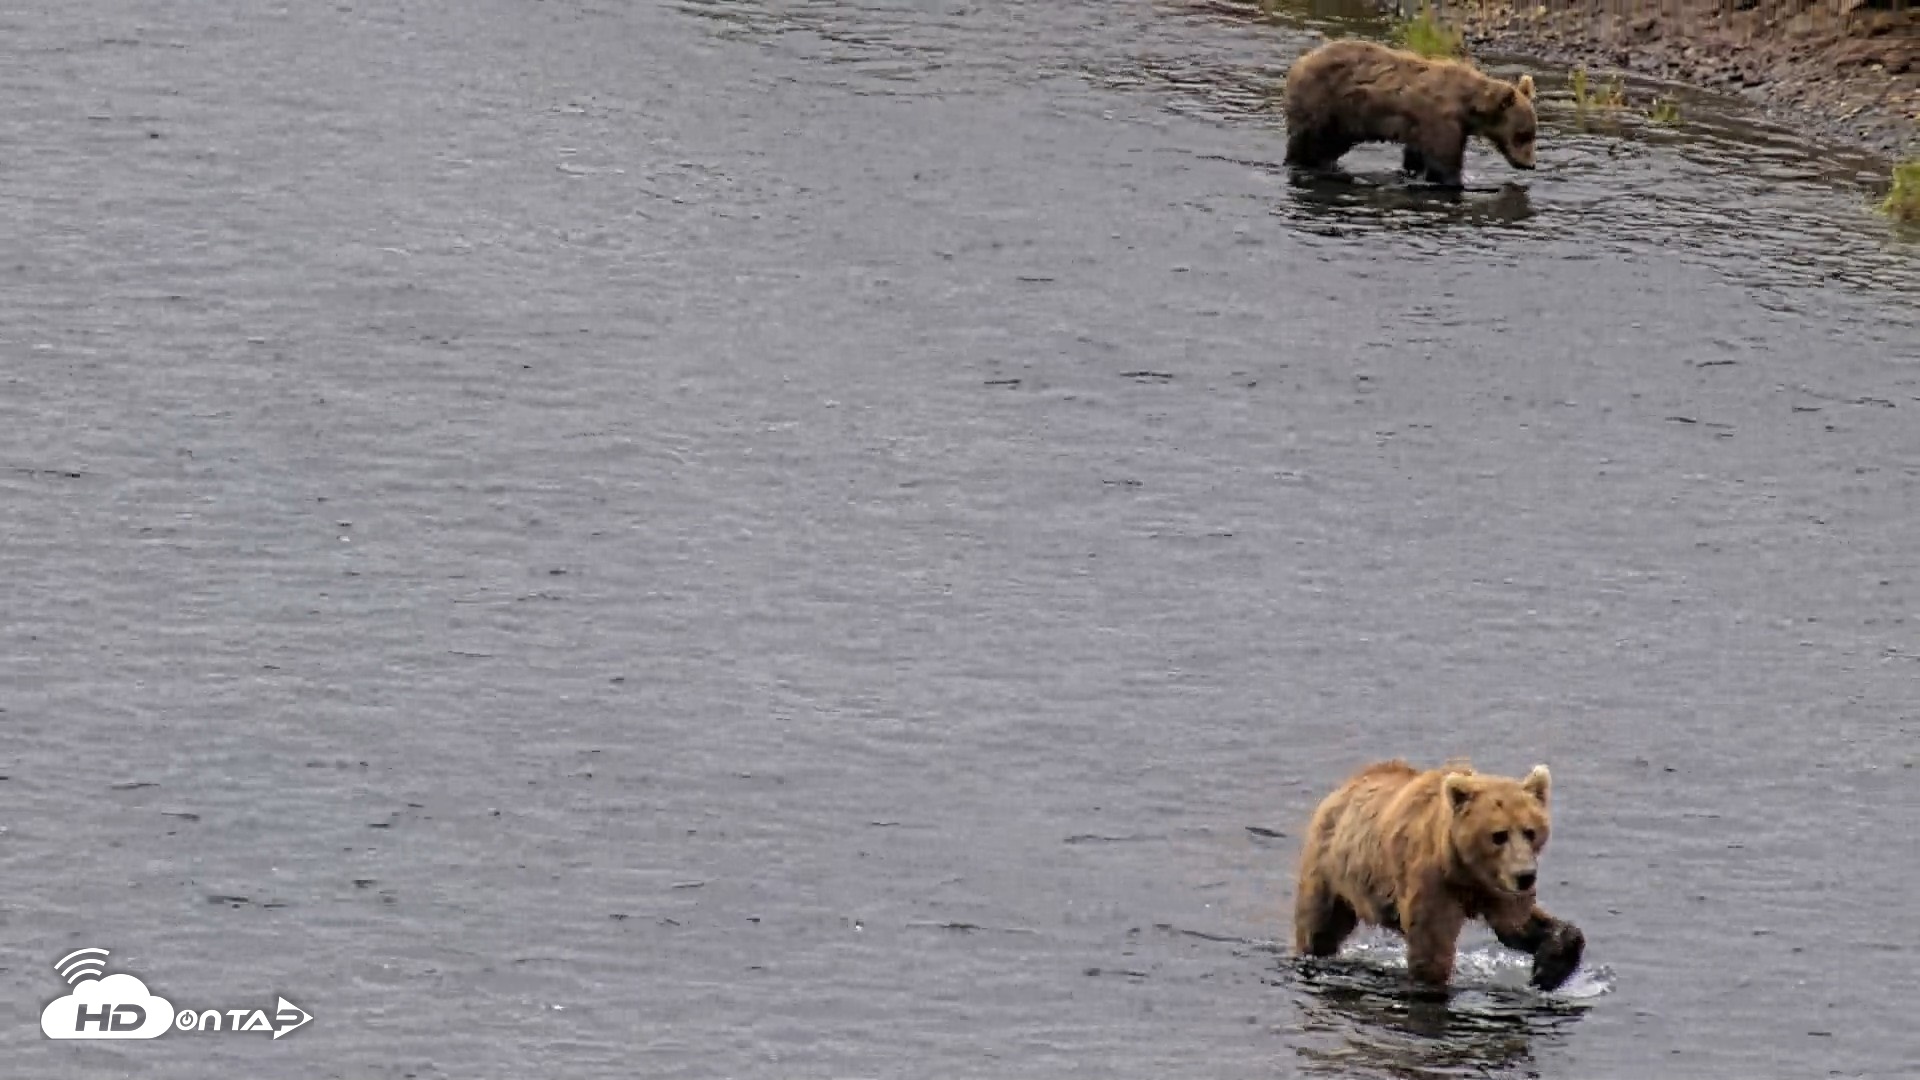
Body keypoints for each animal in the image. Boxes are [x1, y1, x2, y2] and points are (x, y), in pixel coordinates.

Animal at [1281, 38, 1538, 187]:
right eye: (1522, 135)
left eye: (1533, 134)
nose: (1530, 164)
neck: (1468, 106)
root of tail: (1300, 61)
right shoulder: (1441, 121)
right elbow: (1444, 162)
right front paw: (1457, 180)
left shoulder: (1424, 126)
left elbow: (1416, 156)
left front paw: (1413, 171)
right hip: (1324, 104)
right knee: (1307, 141)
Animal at [1291, 758, 1585, 993]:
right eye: (1499, 835)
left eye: (1530, 831)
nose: (1526, 876)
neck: (1466, 871)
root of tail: (1344, 787)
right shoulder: (1434, 883)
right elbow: (1432, 949)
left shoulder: (1496, 887)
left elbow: (1518, 926)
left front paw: (1548, 970)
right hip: (1330, 869)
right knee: (1320, 928)